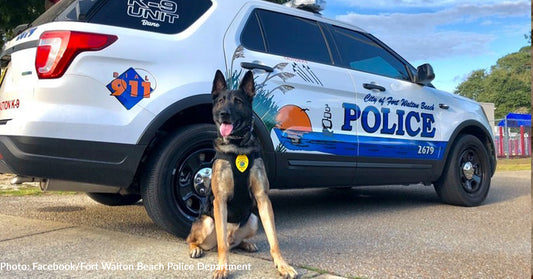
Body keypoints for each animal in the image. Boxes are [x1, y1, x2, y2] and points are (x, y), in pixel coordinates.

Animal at [185, 70, 298, 279]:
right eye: (221, 100)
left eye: (237, 101)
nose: (224, 114)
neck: (237, 147)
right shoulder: (220, 200)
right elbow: (222, 246)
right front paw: (222, 269)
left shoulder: (263, 199)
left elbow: (274, 240)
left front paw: (282, 265)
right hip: (208, 222)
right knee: (199, 240)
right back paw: (195, 248)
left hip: (253, 219)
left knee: (234, 243)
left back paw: (247, 244)